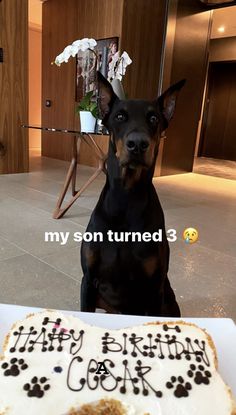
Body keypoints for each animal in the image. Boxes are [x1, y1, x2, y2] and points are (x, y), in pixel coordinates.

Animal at [80, 72, 185, 318]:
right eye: (120, 116)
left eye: (154, 118)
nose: (137, 144)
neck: (125, 198)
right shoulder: (88, 281)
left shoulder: (153, 290)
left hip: (168, 300)